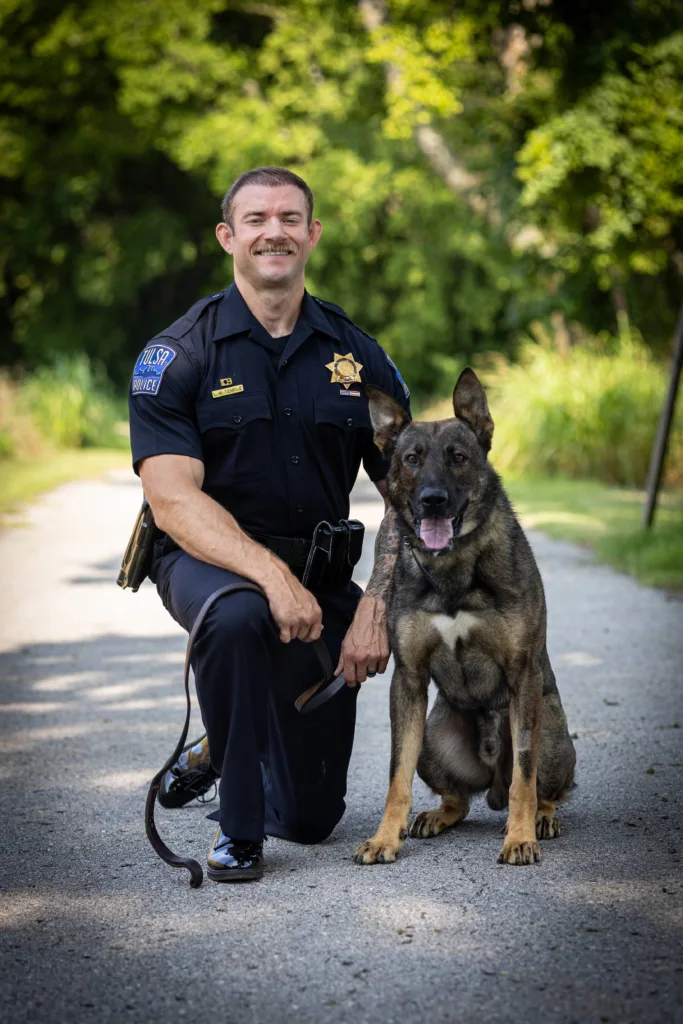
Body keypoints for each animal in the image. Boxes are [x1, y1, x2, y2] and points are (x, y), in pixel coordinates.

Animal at [355, 368, 576, 867]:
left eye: (458, 457)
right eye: (412, 459)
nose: (433, 499)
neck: (454, 570)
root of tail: (490, 777)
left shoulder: (522, 675)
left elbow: (524, 778)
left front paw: (519, 838)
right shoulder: (409, 681)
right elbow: (396, 778)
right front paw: (385, 837)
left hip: (553, 730)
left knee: (540, 787)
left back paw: (540, 818)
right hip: (432, 737)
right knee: (458, 799)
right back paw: (437, 815)